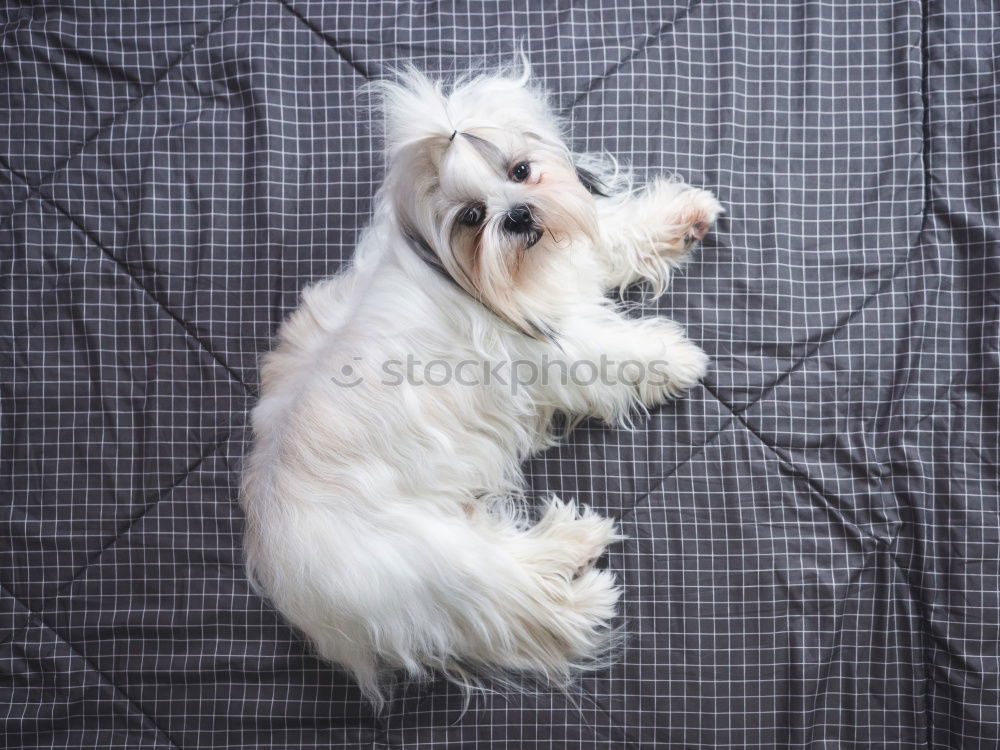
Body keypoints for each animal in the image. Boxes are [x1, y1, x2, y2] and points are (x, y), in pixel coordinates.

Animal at [241, 63, 720, 704]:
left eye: (520, 171)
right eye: (471, 216)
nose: (516, 214)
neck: (484, 279)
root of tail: (281, 568)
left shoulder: (573, 255)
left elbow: (613, 234)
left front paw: (683, 214)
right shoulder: (550, 351)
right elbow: (612, 352)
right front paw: (677, 359)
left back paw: (576, 541)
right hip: (443, 562)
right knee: (523, 599)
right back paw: (583, 565)